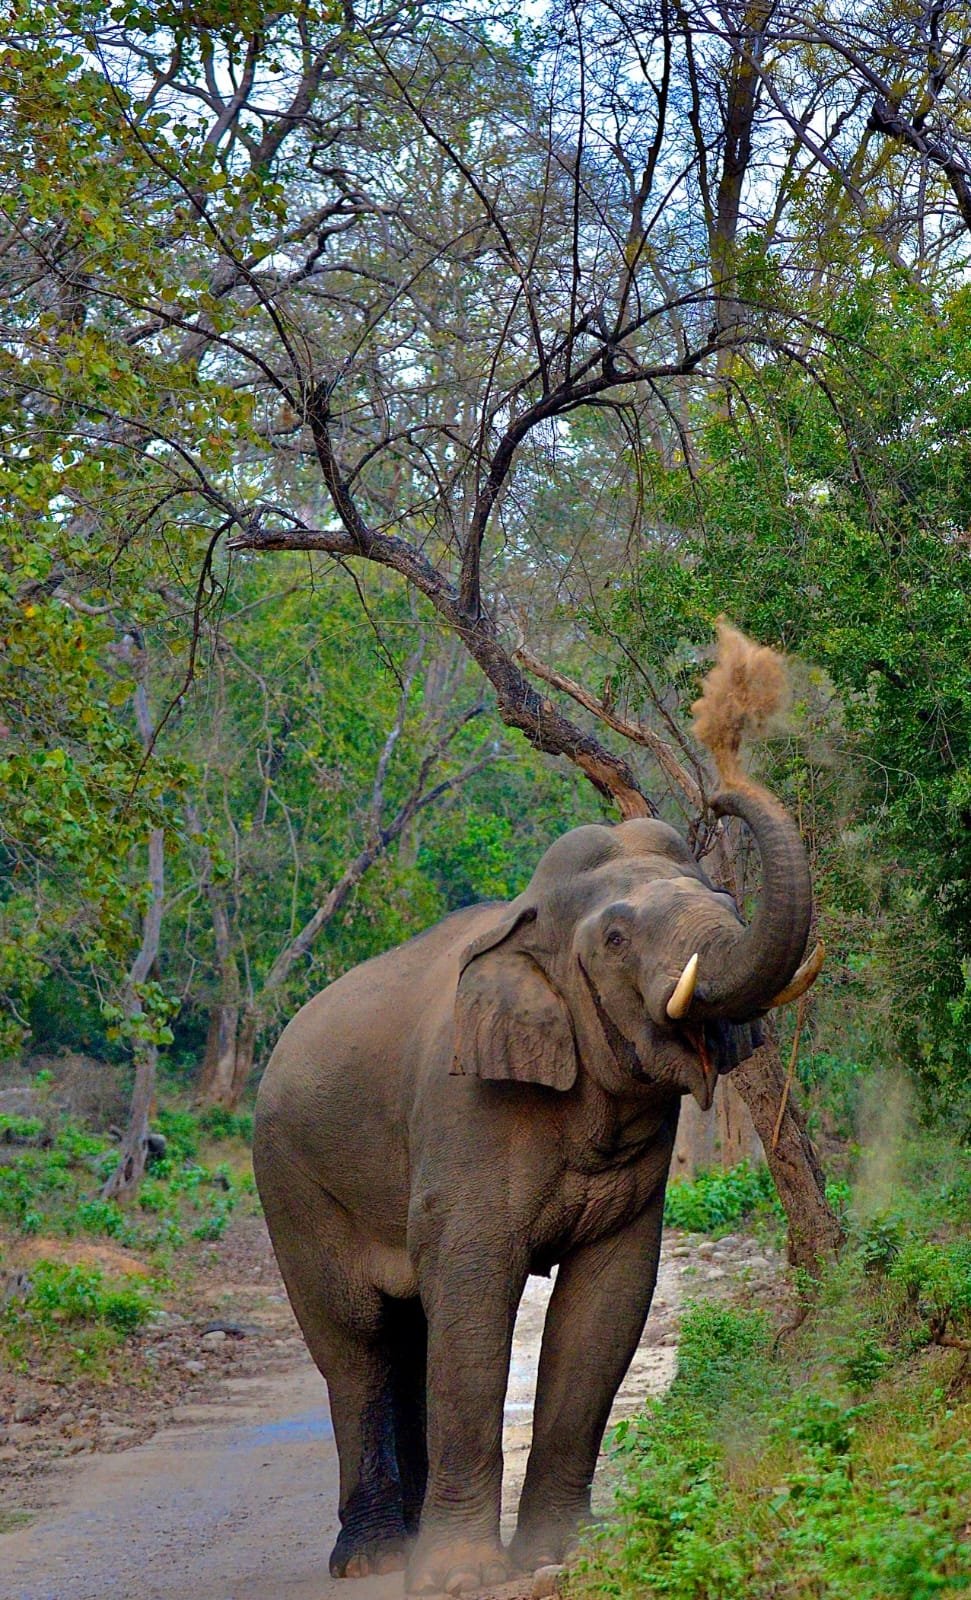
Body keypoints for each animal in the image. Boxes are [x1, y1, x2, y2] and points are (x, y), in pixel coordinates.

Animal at [253, 777, 820, 1596]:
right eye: (614, 939)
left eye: (723, 898)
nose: (718, 798)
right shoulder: (465, 1110)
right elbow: (474, 1295)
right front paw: (459, 1577)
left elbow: (607, 1302)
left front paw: (561, 1554)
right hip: (291, 1184)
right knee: (355, 1343)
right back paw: (373, 1559)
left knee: (408, 1333)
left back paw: (406, 1540)